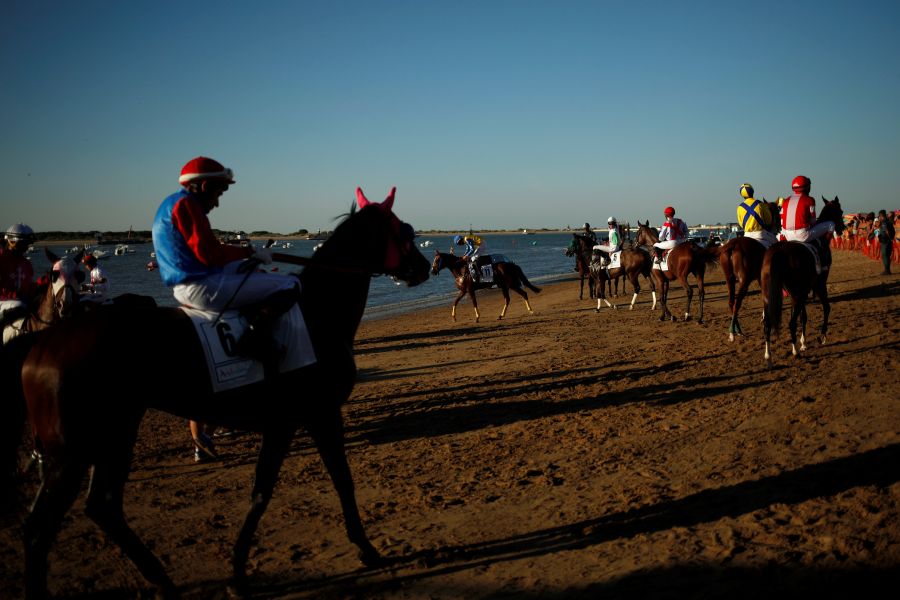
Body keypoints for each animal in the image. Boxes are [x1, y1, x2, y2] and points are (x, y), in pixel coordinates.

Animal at [10, 185, 432, 596]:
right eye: (403, 229)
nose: (425, 266)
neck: (317, 312)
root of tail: (42, 343)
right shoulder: (317, 415)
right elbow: (330, 481)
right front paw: (365, 548)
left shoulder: (287, 423)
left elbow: (265, 490)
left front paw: (239, 572)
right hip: (73, 451)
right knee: (40, 529)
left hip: (113, 434)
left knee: (102, 506)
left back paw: (163, 582)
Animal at [712, 200, 780, 340]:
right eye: (777, 212)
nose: (780, 227)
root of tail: (733, 245)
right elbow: (765, 296)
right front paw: (764, 318)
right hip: (744, 280)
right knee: (737, 303)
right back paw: (733, 332)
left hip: (730, 279)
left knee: (731, 302)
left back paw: (736, 329)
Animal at [760, 197, 844, 366]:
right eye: (840, 211)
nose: (843, 228)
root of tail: (776, 253)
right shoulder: (818, 285)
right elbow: (826, 307)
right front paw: (821, 336)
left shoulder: (801, 292)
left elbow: (803, 316)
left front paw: (804, 342)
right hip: (799, 292)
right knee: (791, 323)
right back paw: (795, 352)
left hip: (769, 295)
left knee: (768, 324)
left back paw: (769, 356)